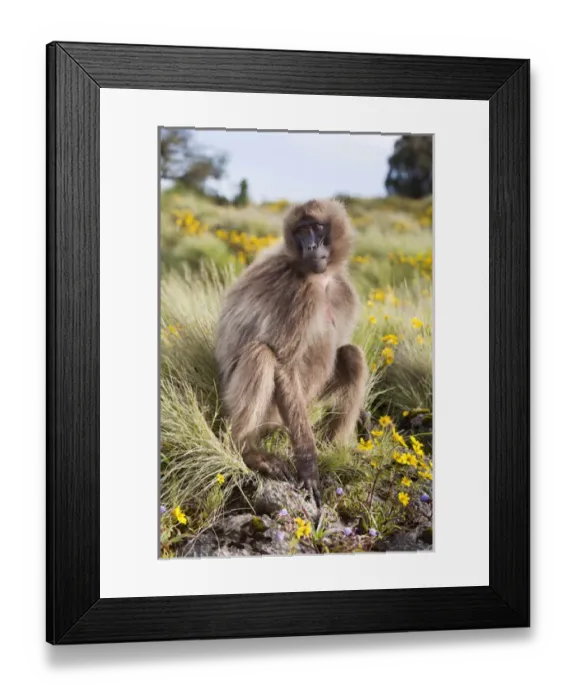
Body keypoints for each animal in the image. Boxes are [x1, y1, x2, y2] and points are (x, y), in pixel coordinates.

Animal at [214, 198, 368, 505]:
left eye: (317, 227)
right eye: (301, 231)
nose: (311, 246)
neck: (321, 280)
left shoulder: (343, 290)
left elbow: (342, 346)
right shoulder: (297, 294)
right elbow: (284, 364)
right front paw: (308, 464)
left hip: (307, 403)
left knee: (352, 356)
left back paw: (333, 449)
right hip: (274, 413)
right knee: (261, 355)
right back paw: (249, 452)